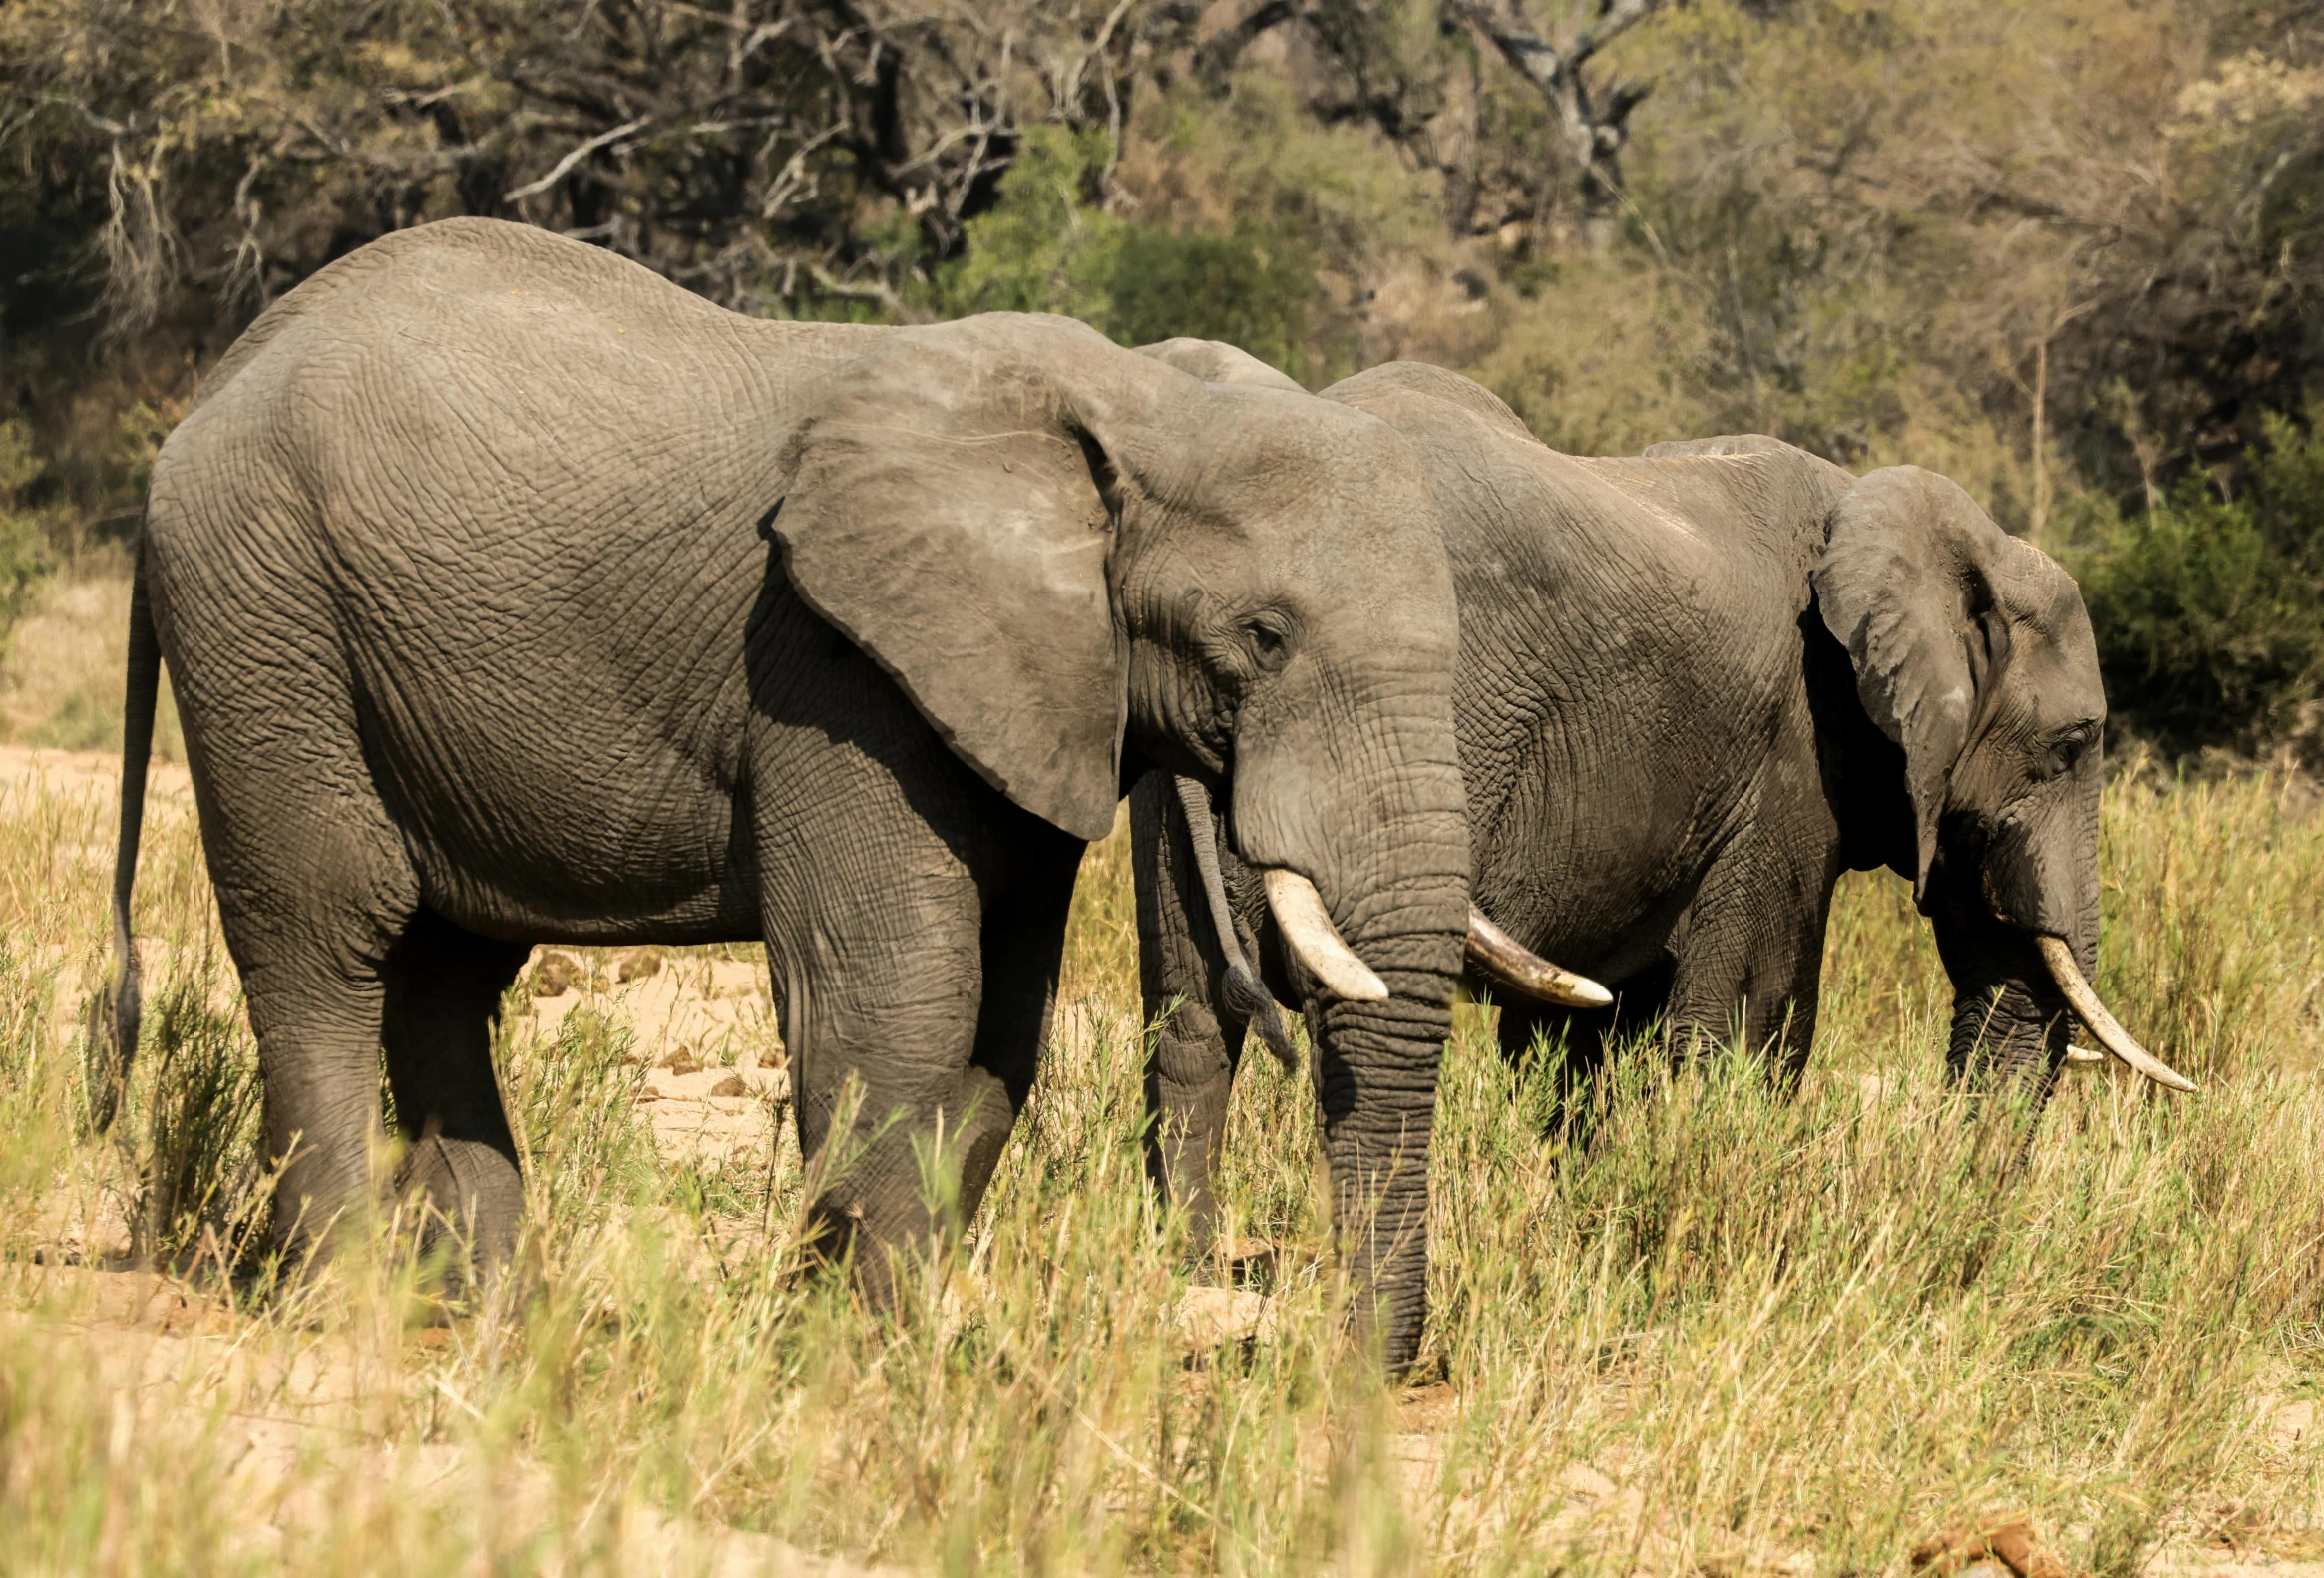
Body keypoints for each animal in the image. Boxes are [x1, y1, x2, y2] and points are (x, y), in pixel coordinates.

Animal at [95, 219, 1580, 1357]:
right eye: (1263, 637)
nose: (1358, 1368)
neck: (1131, 403)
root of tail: (207, 393)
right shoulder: (833, 663)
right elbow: (902, 995)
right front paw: (873, 1354)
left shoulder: (1032, 688)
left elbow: (1001, 1023)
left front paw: (851, 1326)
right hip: (265, 619)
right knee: (326, 939)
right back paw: (350, 1309)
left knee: (446, 970)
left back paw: (491, 1319)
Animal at [1134, 346, 2184, 1255]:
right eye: (2072, 745)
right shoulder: (1795, 749)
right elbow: (1759, 1019)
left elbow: (1585, 1042)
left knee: (1189, 1013)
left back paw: (1188, 1266)